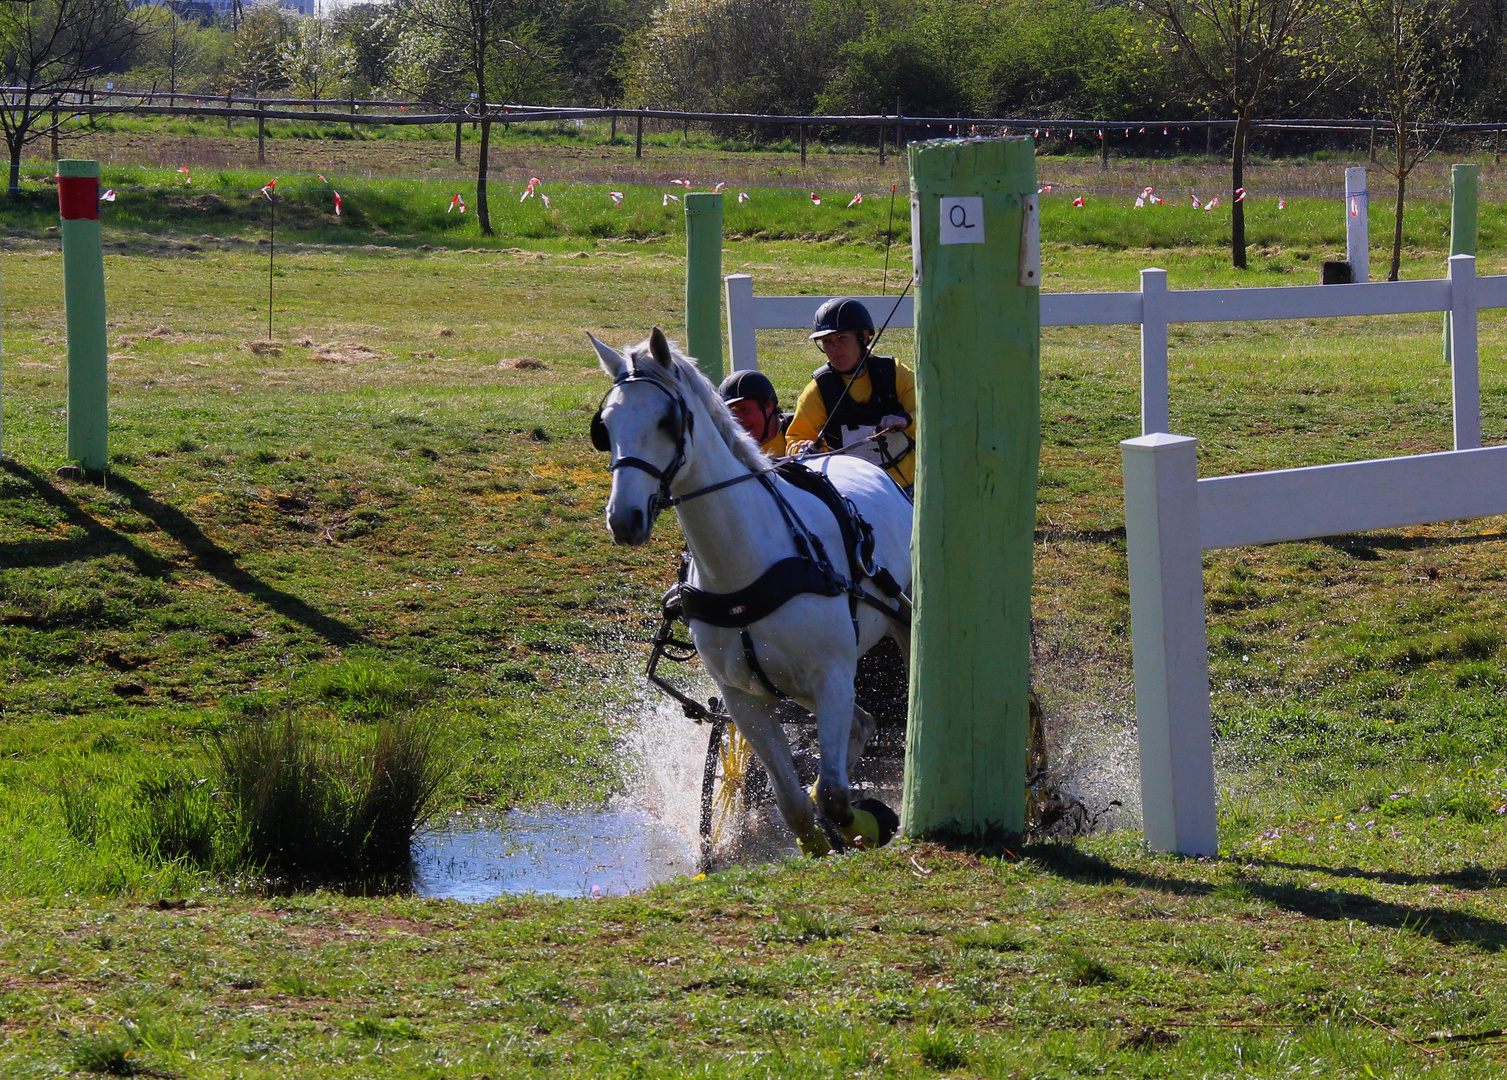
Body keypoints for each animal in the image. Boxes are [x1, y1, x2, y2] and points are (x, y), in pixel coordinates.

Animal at [593, 323, 910, 855]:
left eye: (666, 420)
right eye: (606, 425)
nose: (624, 518)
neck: (743, 566)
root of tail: (868, 465)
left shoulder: (832, 675)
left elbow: (834, 796)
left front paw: (869, 826)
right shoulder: (745, 699)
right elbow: (796, 804)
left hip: (893, 633)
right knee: (862, 724)